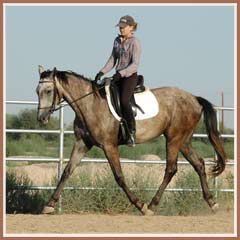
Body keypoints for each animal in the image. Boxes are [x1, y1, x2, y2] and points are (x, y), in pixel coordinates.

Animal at [36, 65, 227, 216]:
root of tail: (194, 98)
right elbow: (67, 172)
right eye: (37, 91)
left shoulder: (109, 146)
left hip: (173, 139)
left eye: (48, 91)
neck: (90, 104)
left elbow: (119, 176)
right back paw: (212, 203)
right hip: (184, 141)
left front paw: (140, 205)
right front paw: (49, 205)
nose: (41, 118)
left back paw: (151, 205)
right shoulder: (82, 144)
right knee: (199, 164)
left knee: (171, 169)